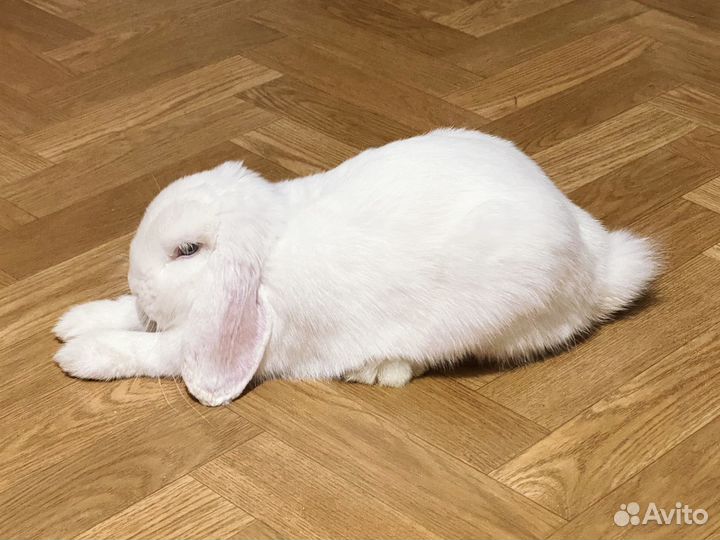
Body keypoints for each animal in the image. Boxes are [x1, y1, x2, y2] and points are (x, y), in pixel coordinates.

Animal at [54, 128, 659, 406]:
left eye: (188, 251)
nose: (138, 282)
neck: (266, 245)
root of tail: (601, 267)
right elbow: (128, 319)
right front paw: (76, 320)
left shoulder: (204, 340)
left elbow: (154, 351)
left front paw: (79, 355)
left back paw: (376, 368)